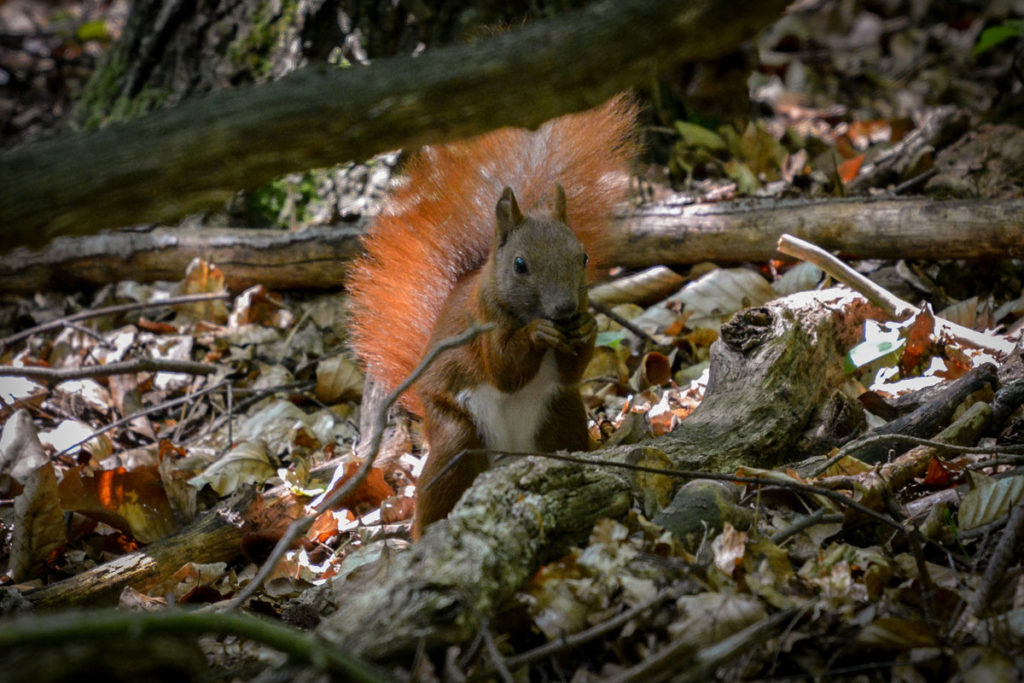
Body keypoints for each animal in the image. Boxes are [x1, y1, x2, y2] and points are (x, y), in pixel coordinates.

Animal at [348, 96, 634, 540]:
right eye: (520, 264)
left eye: (583, 257)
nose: (565, 310)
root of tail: (509, 454)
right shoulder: (479, 325)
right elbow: (503, 371)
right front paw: (536, 333)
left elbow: (571, 369)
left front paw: (587, 329)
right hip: (458, 436)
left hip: (562, 416)